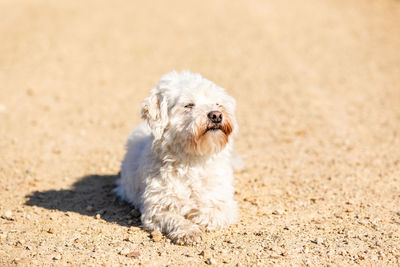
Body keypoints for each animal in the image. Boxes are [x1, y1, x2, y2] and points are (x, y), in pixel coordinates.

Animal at [114, 70, 238, 245]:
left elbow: (211, 213)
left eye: (218, 104)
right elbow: (175, 218)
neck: (192, 160)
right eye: (188, 105)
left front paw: (196, 215)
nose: (216, 115)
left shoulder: (225, 204)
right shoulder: (156, 209)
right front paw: (189, 230)